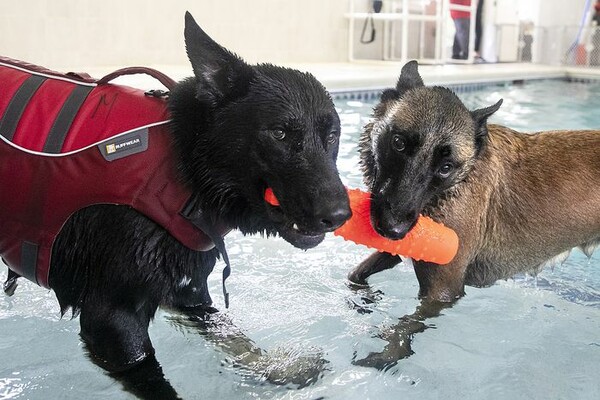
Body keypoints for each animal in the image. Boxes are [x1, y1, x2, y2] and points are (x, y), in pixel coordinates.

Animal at [4, 11, 350, 396]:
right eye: (279, 133)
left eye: (331, 136)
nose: (340, 216)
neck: (186, 166)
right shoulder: (112, 322)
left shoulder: (186, 290)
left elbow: (233, 336)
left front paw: (276, 368)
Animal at [346, 60, 600, 368]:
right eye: (398, 143)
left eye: (445, 167)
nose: (392, 228)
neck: (460, 181)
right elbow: (357, 275)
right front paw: (365, 300)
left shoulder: (442, 291)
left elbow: (405, 326)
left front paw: (388, 353)